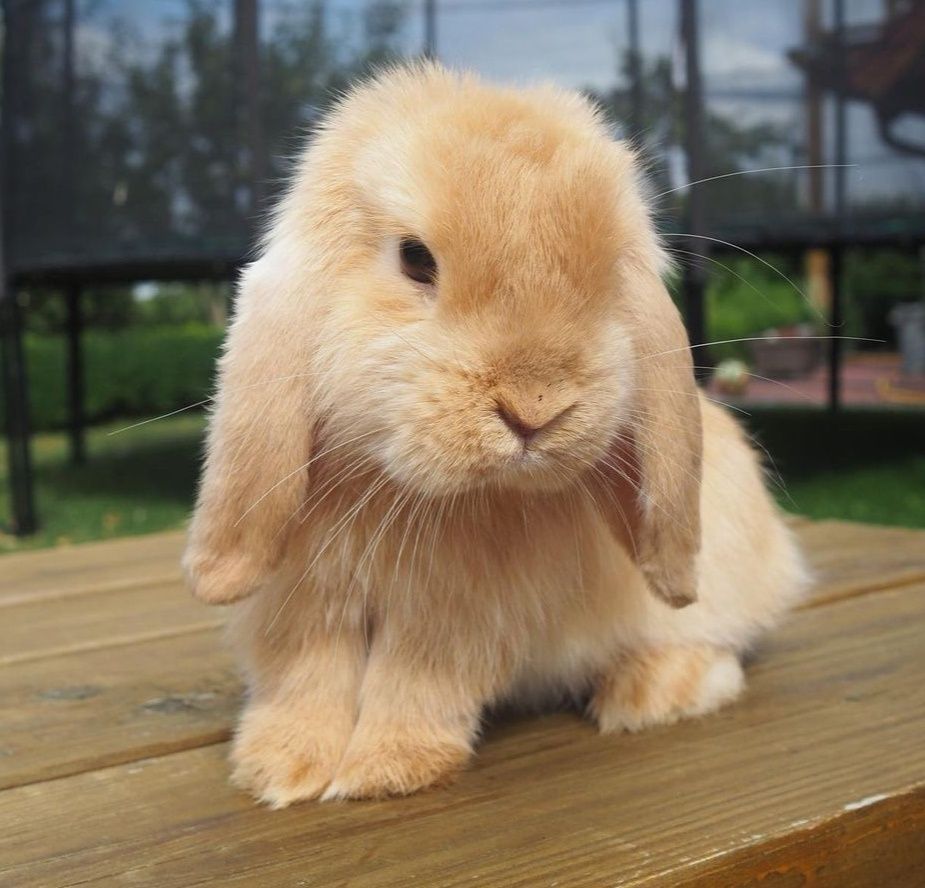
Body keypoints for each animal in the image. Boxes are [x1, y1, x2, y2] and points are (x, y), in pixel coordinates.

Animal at [184, 64, 804, 804]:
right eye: (415, 260)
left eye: (609, 276)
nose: (535, 405)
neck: (390, 490)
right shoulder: (304, 604)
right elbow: (304, 680)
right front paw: (282, 769)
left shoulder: (455, 620)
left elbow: (416, 684)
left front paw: (385, 767)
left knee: (714, 648)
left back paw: (652, 692)